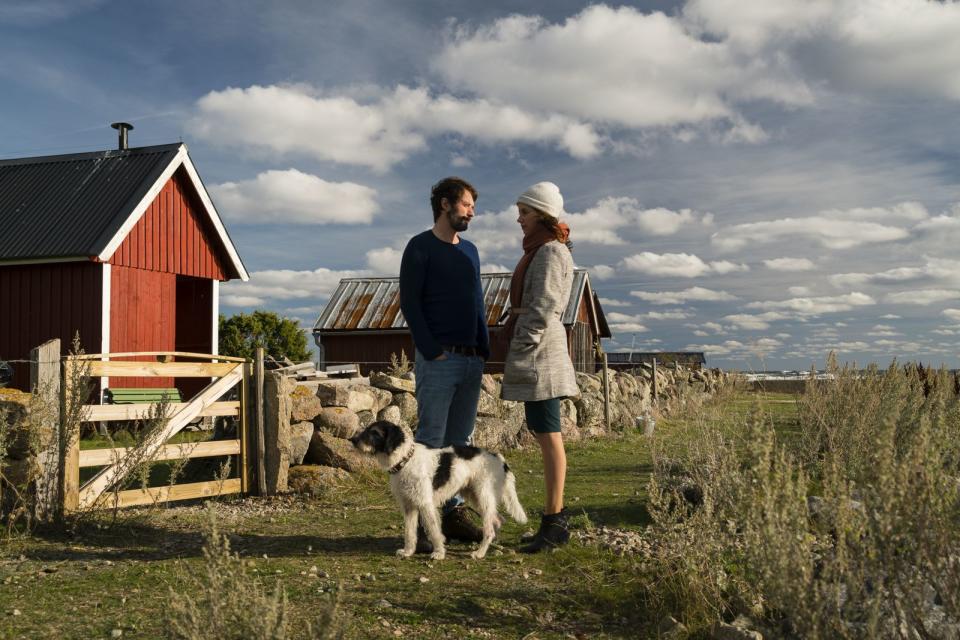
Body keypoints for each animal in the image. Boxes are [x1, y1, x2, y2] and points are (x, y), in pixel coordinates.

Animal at [350, 420, 528, 560]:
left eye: (374, 432)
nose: (353, 440)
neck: (406, 460)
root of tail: (497, 457)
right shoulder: (409, 506)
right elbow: (410, 532)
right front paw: (408, 552)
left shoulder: (426, 504)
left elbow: (434, 530)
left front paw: (439, 553)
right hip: (476, 498)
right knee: (497, 520)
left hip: (483, 497)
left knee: (490, 528)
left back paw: (479, 553)